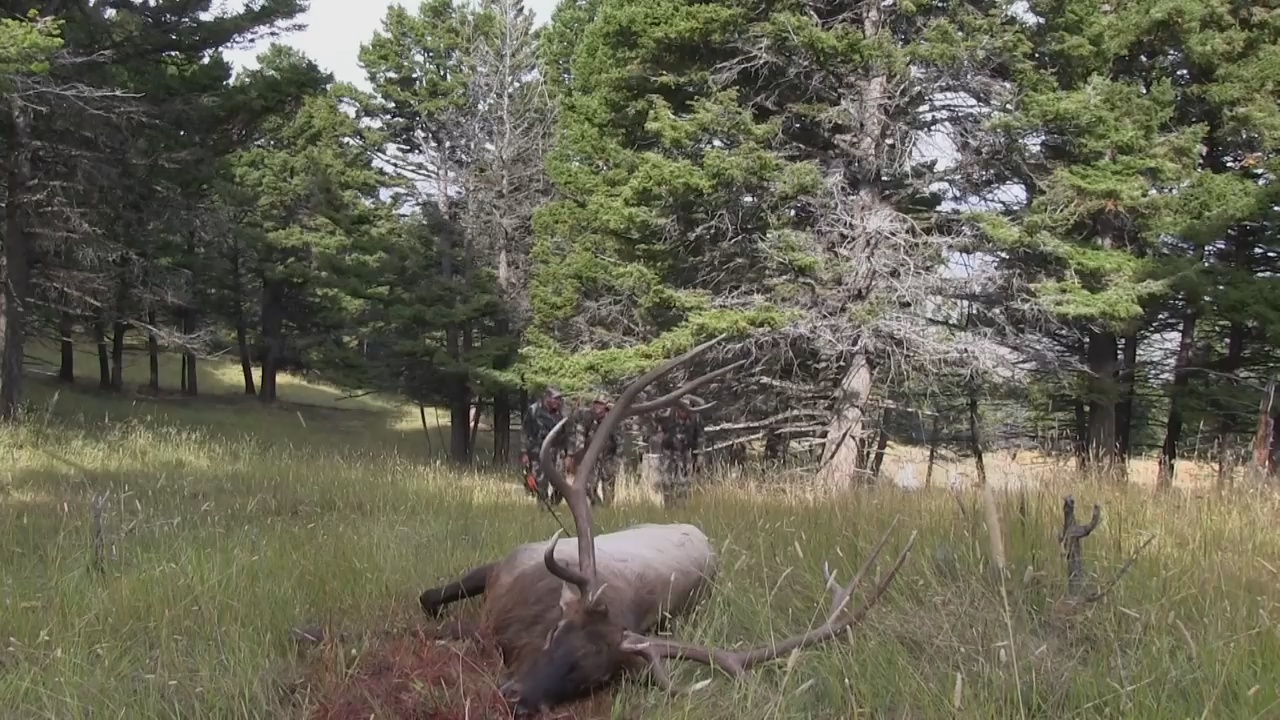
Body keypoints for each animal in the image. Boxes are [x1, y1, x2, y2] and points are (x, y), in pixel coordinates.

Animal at [414, 335, 916, 712]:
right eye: (557, 636)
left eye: (592, 677)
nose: (516, 696)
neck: (515, 623)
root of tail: (700, 532)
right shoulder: (505, 563)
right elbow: (429, 597)